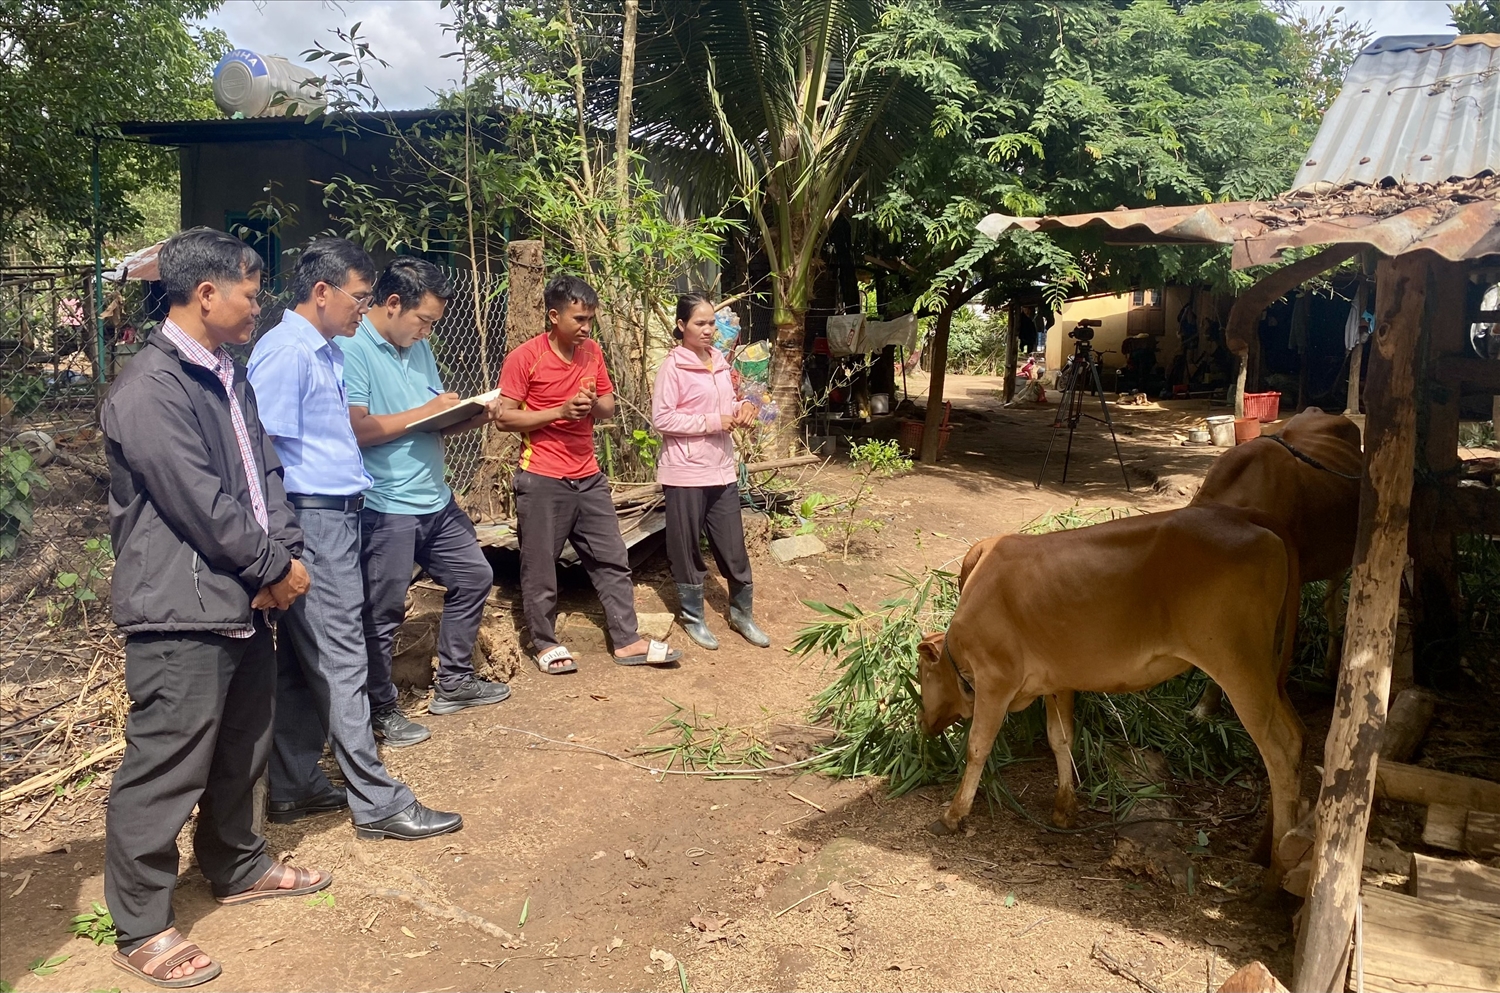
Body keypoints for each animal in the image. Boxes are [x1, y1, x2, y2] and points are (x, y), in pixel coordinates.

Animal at [912, 507, 1302, 888]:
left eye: (921, 672)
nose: (922, 722)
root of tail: (1248, 519)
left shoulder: (996, 679)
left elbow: (978, 745)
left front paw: (953, 814)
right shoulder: (1058, 681)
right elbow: (1061, 739)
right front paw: (1064, 809)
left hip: (1238, 663)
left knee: (1279, 748)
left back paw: (1277, 872)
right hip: (1264, 668)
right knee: (1297, 735)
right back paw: (1270, 848)